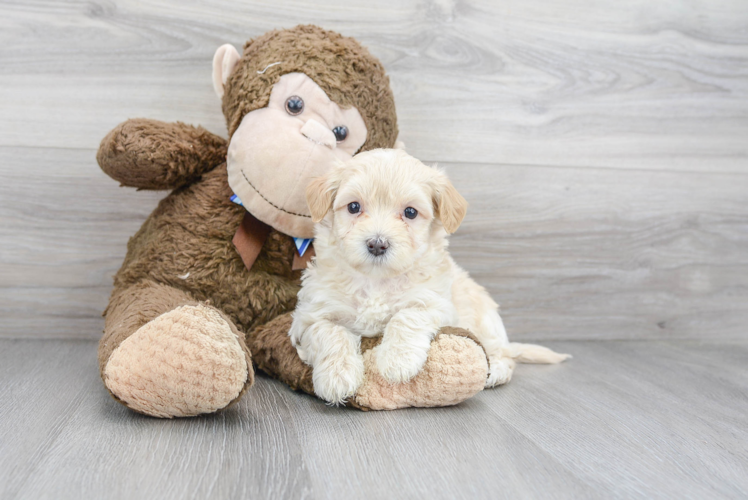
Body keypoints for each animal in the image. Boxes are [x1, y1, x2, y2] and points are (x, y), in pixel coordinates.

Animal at [290, 149, 568, 406]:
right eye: (354, 207)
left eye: (410, 212)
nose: (377, 244)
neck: (376, 281)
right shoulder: (309, 316)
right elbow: (330, 333)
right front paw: (337, 377)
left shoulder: (435, 303)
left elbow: (407, 316)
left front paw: (397, 360)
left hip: (487, 322)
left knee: (505, 355)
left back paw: (496, 371)